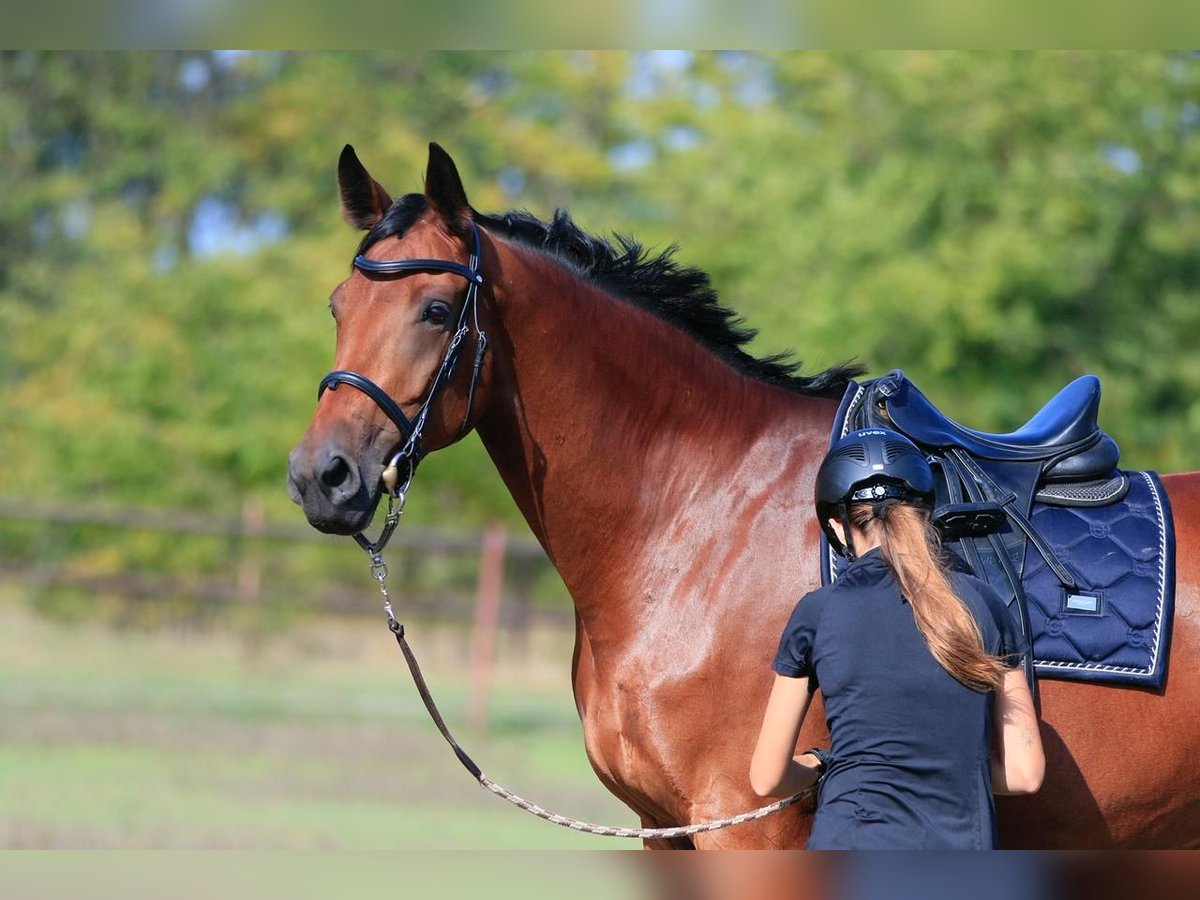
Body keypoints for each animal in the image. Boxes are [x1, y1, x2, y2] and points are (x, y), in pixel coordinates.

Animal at [287, 143, 1200, 849]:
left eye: (438, 309)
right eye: (337, 305)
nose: (320, 476)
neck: (697, 517)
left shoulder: (746, 822)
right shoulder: (666, 827)